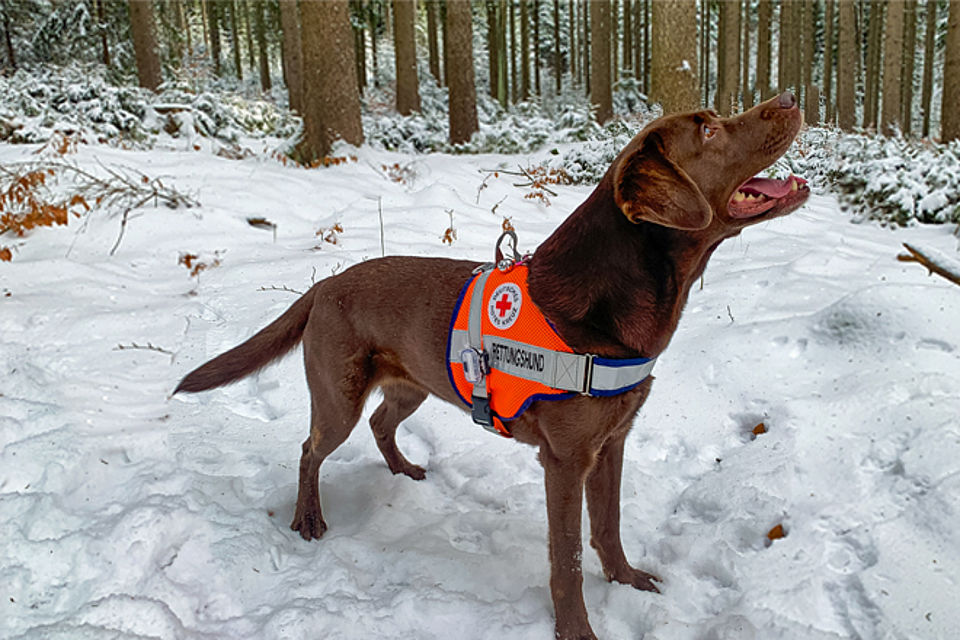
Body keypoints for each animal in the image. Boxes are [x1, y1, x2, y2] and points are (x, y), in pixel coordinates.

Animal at [176, 92, 808, 636]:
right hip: (339, 396)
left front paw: (627, 581)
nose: (791, 97)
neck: (609, 305)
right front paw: (576, 630)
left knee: (381, 423)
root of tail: (325, 285)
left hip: (414, 382)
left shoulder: (613, 442)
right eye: (707, 130)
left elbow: (608, 527)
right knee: (311, 448)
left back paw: (403, 470)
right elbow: (567, 561)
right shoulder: (566, 461)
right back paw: (309, 520)